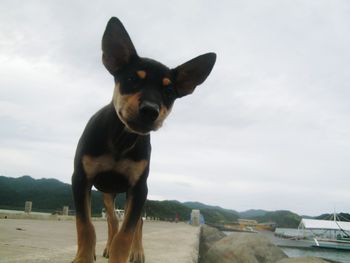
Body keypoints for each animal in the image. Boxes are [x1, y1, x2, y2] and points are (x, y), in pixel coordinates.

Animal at [71, 17, 216, 262]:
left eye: (169, 92)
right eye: (131, 79)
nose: (150, 110)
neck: (121, 140)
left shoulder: (139, 189)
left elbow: (127, 234)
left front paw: (122, 254)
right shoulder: (81, 178)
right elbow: (85, 226)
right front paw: (83, 257)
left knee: (136, 224)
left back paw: (137, 252)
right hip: (107, 192)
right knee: (112, 219)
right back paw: (106, 246)